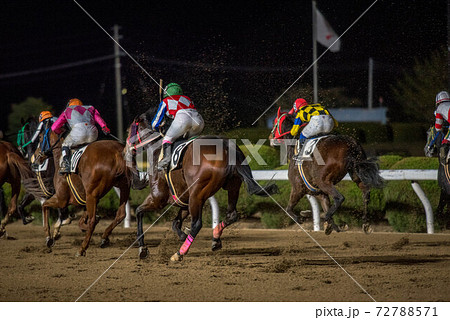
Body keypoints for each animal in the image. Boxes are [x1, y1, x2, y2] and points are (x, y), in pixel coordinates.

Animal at [124, 114, 278, 262]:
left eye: (128, 131)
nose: (125, 150)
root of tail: (226, 146)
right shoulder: (184, 200)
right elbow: (175, 223)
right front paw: (182, 235)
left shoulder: (158, 198)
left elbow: (139, 211)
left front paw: (142, 249)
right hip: (232, 186)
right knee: (232, 215)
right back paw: (215, 237)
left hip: (197, 194)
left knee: (197, 224)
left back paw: (179, 253)